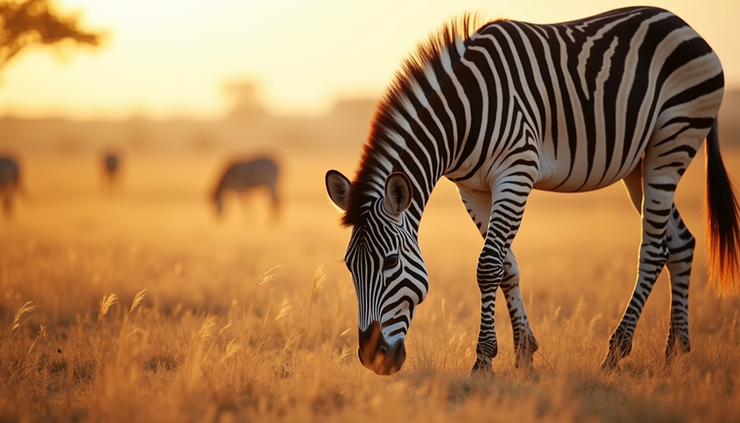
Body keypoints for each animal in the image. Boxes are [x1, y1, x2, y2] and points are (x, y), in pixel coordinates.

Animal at [325, 6, 738, 375]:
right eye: (349, 266)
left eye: (391, 262)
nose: (373, 360)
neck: (463, 115)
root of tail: (683, 24)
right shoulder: (472, 190)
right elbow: (505, 266)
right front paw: (524, 352)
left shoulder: (516, 171)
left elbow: (487, 265)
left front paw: (484, 360)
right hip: (642, 162)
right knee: (680, 243)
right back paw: (676, 352)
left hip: (672, 141)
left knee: (654, 250)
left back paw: (616, 352)